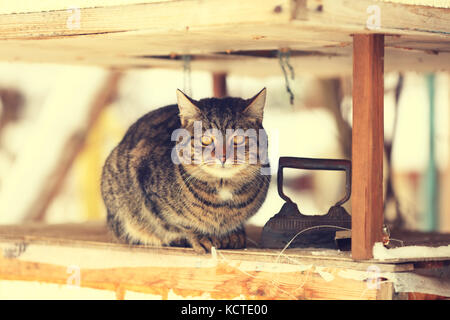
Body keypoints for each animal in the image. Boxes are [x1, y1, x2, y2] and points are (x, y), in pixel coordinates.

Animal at [102, 87, 270, 252]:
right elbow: (179, 224)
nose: (222, 156)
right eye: (206, 140)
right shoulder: (147, 191)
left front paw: (235, 234)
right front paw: (201, 237)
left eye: (238, 139)